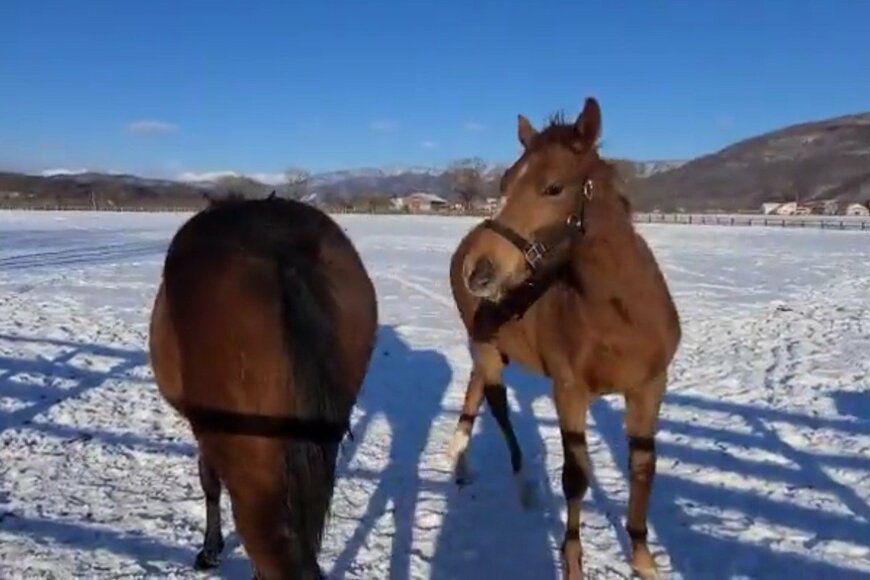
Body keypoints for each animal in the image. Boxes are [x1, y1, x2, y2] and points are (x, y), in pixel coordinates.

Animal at [450, 97, 680, 576]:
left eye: (553, 187)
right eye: (505, 181)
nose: (479, 271)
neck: (620, 313)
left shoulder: (650, 386)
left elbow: (643, 466)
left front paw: (643, 557)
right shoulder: (569, 391)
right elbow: (574, 476)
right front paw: (573, 563)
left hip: (491, 346)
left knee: (475, 390)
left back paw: (460, 460)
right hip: (486, 348)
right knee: (498, 407)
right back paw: (522, 486)